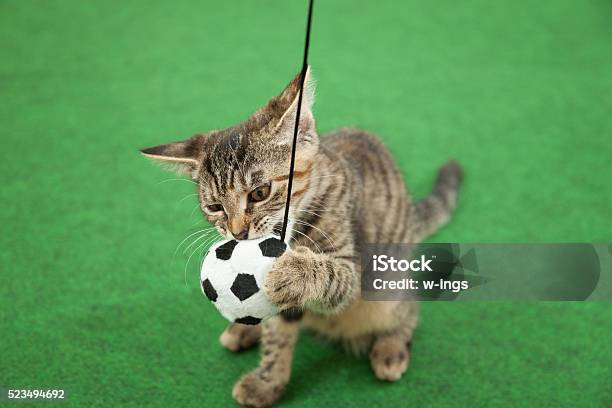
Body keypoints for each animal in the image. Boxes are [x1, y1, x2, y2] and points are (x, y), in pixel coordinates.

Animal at [141, 68, 462, 406]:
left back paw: (391, 347)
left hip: (388, 288)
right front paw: (268, 380)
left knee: (407, 310)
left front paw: (293, 271)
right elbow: (277, 334)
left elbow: (330, 275)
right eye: (215, 207)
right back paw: (244, 329)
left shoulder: (351, 268)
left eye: (260, 192)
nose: (237, 231)